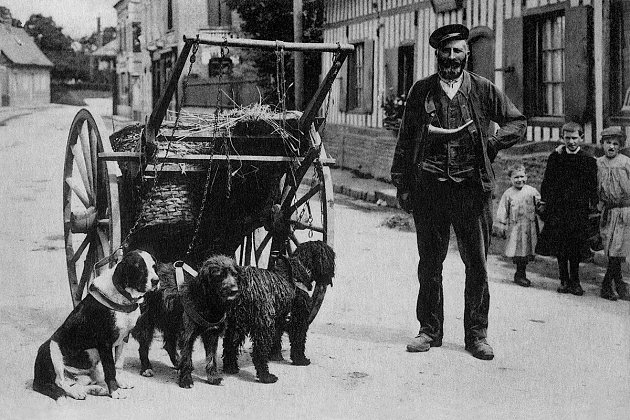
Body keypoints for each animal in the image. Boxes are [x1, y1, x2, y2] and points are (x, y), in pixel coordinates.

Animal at [33, 249, 159, 400]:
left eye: (154, 266)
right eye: (139, 268)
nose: (156, 281)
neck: (123, 297)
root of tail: (36, 378)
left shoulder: (124, 338)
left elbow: (118, 365)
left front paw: (121, 383)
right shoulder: (105, 343)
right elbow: (110, 370)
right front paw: (115, 391)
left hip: (87, 373)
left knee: (76, 382)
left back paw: (96, 390)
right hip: (51, 347)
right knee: (60, 382)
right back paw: (78, 392)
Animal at [132, 254, 241, 386]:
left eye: (235, 274)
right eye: (219, 275)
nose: (234, 291)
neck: (205, 299)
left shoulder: (212, 334)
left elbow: (211, 357)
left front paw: (213, 377)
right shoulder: (187, 335)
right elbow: (187, 357)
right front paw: (186, 379)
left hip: (170, 322)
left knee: (169, 344)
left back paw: (177, 362)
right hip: (146, 322)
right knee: (143, 346)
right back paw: (146, 368)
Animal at [222, 240, 336, 384]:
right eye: (331, 256)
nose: (332, 273)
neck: (301, 267)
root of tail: (243, 286)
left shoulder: (279, 317)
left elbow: (277, 336)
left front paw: (276, 355)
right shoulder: (299, 316)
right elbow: (298, 339)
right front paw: (300, 359)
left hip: (237, 322)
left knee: (229, 344)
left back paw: (230, 367)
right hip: (262, 324)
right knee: (258, 352)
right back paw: (266, 376)